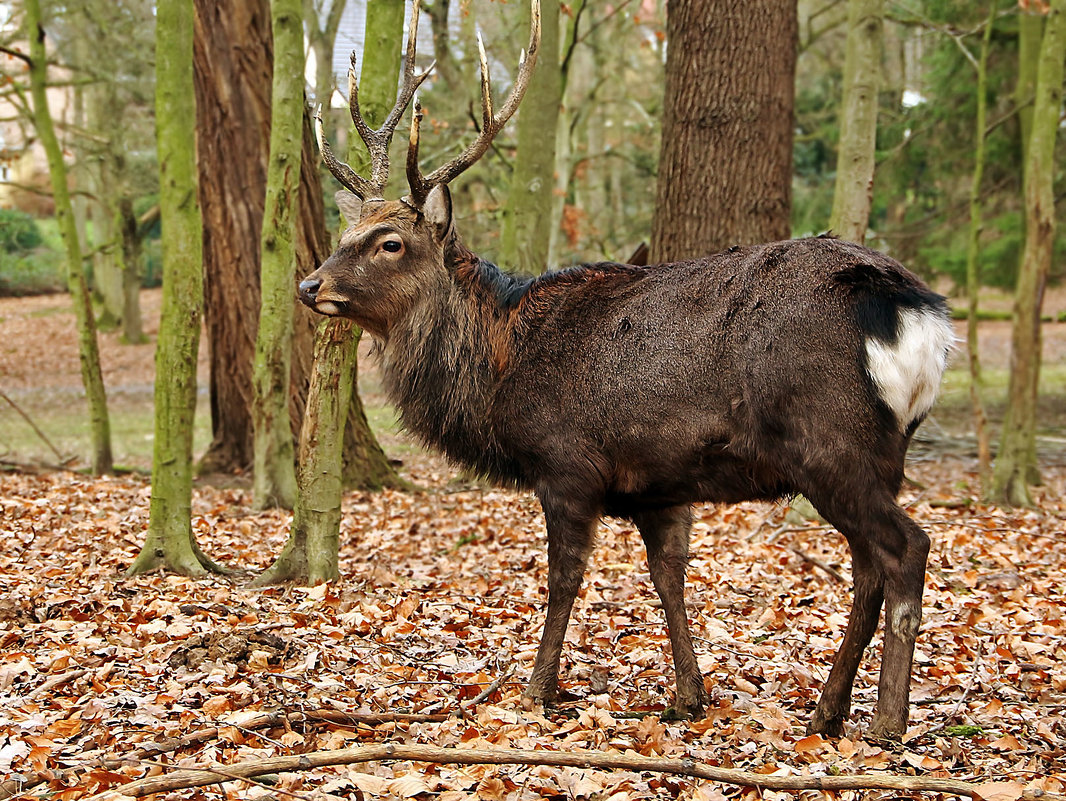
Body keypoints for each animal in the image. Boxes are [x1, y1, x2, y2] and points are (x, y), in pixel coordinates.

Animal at [296, 0, 955, 742]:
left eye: (389, 243)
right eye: (348, 234)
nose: (310, 283)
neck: (500, 363)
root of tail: (914, 310)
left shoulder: (567, 463)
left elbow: (564, 579)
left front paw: (538, 689)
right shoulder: (658, 485)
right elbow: (668, 578)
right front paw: (688, 695)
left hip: (829, 438)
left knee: (906, 548)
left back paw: (888, 720)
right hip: (880, 452)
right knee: (868, 567)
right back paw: (827, 709)